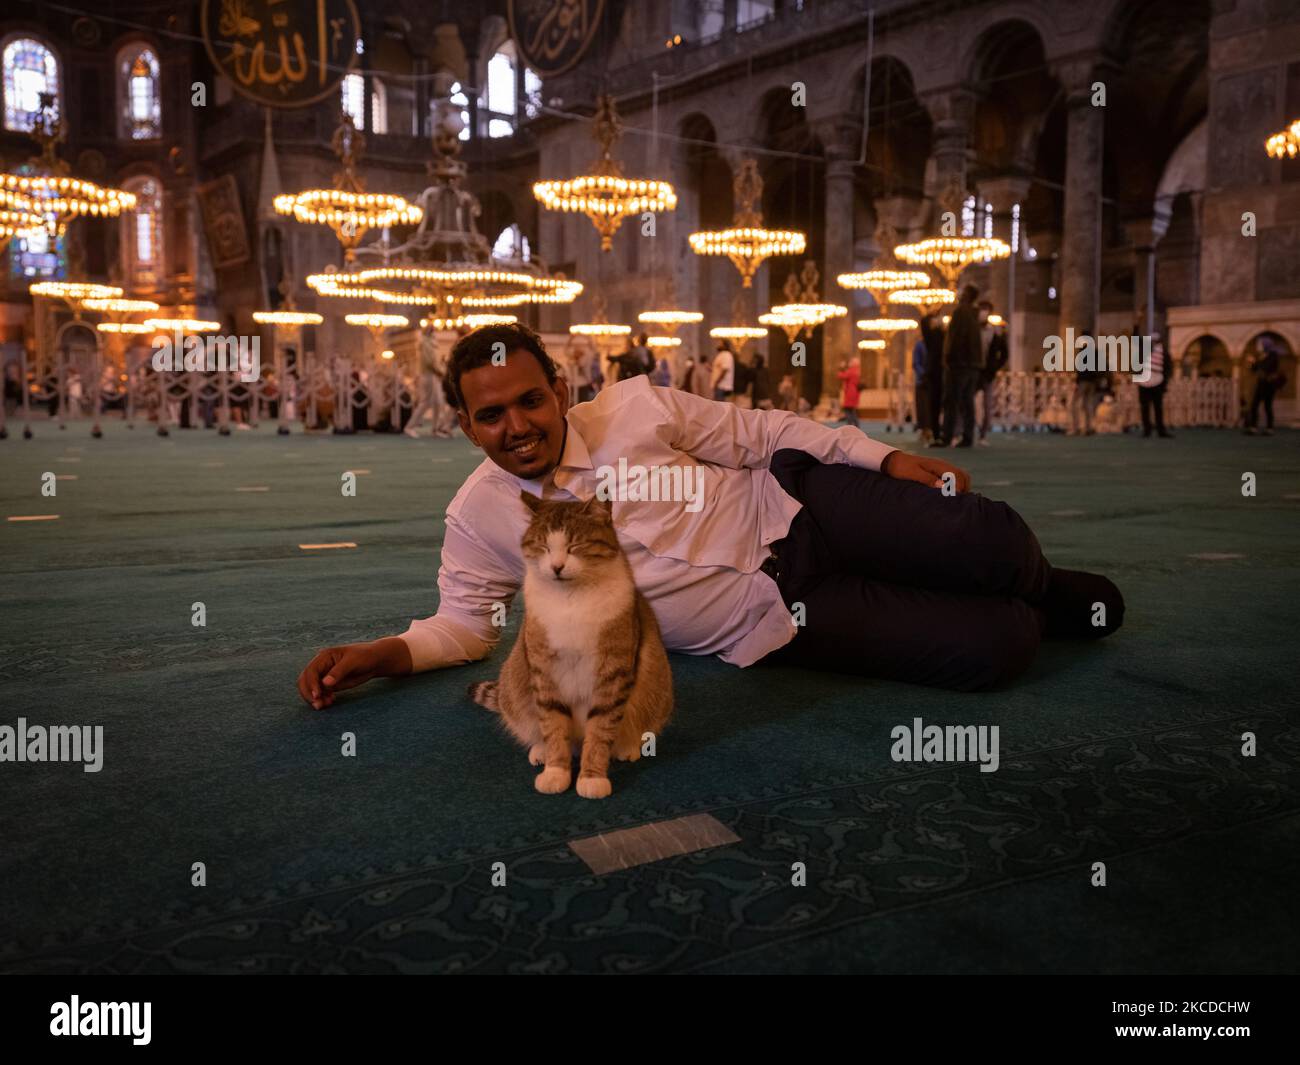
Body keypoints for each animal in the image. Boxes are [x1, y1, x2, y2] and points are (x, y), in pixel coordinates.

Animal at [467, 491, 670, 801]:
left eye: (575, 546)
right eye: (543, 546)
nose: (557, 567)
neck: (571, 600)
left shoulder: (613, 672)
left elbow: (600, 731)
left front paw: (592, 778)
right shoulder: (544, 670)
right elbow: (553, 727)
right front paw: (555, 773)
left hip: (657, 686)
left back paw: (626, 747)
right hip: (515, 681)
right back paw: (540, 750)